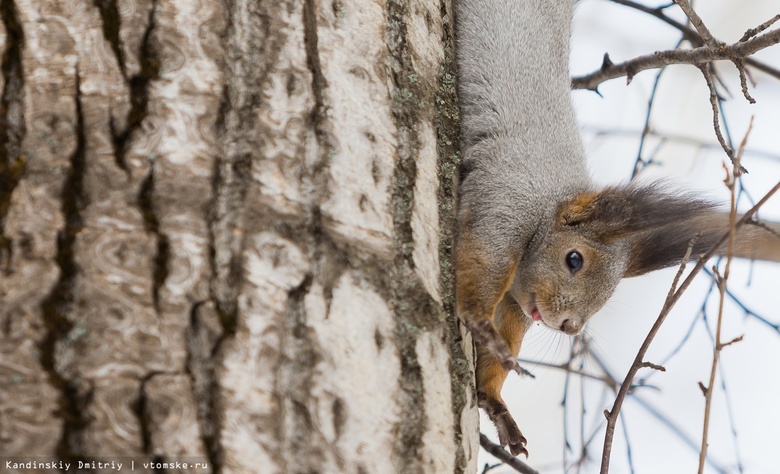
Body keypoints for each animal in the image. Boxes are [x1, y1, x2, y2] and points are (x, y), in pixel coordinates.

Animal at [454, 0, 776, 458]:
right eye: (573, 260)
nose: (570, 327)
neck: (550, 206)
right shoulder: (506, 205)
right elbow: (481, 260)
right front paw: (479, 321)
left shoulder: (518, 304)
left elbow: (500, 353)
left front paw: (497, 405)